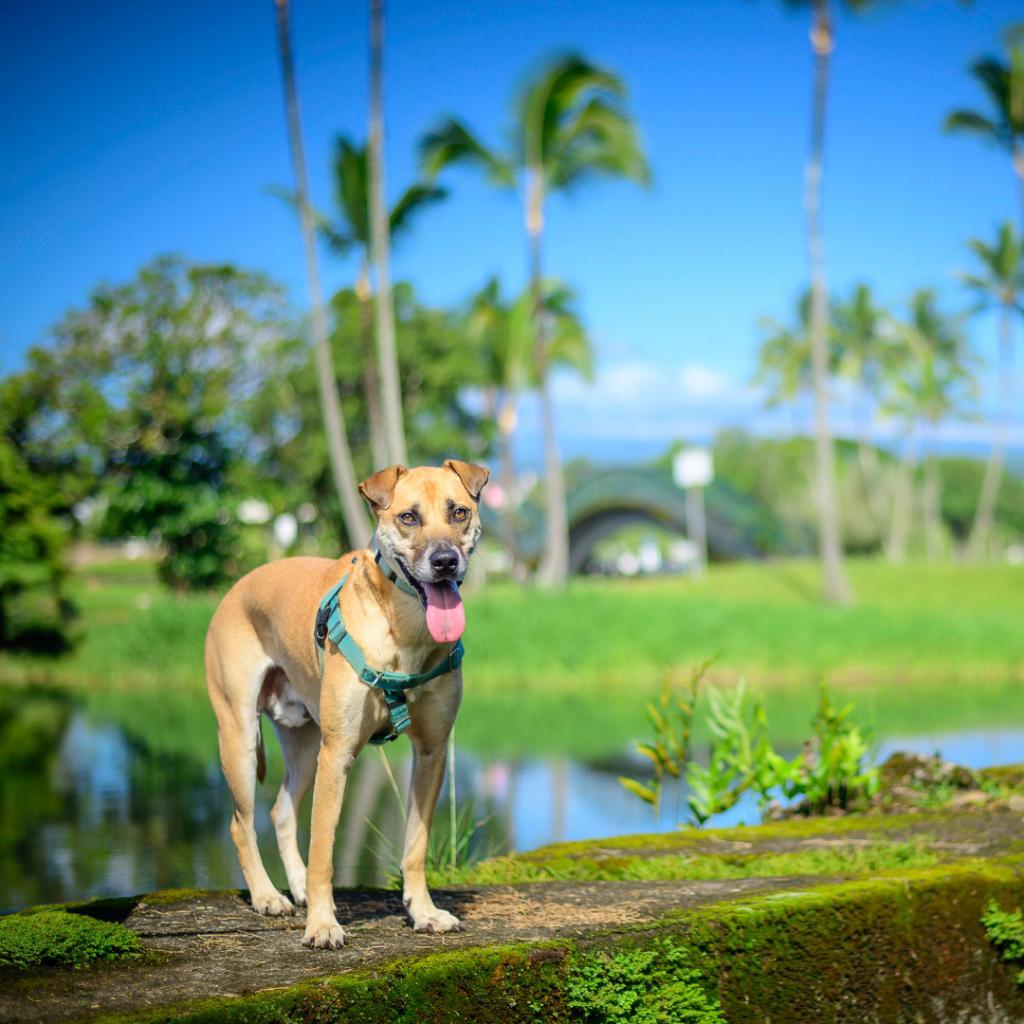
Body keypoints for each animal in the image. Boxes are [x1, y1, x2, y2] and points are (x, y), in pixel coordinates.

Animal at [203, 460, 487, 946]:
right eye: (408, 517)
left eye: (460, 512)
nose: (445, 561)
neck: (404, 632)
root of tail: (237, 585)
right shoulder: (337, 755)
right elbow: (323, 851)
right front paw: (322, 924)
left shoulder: (432, 750)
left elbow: (416, 845)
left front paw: (424, 911)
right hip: (240, 737)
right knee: (241, 824)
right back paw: (267, 896)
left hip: (304, 744)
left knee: (280, 812)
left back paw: (295, 886)